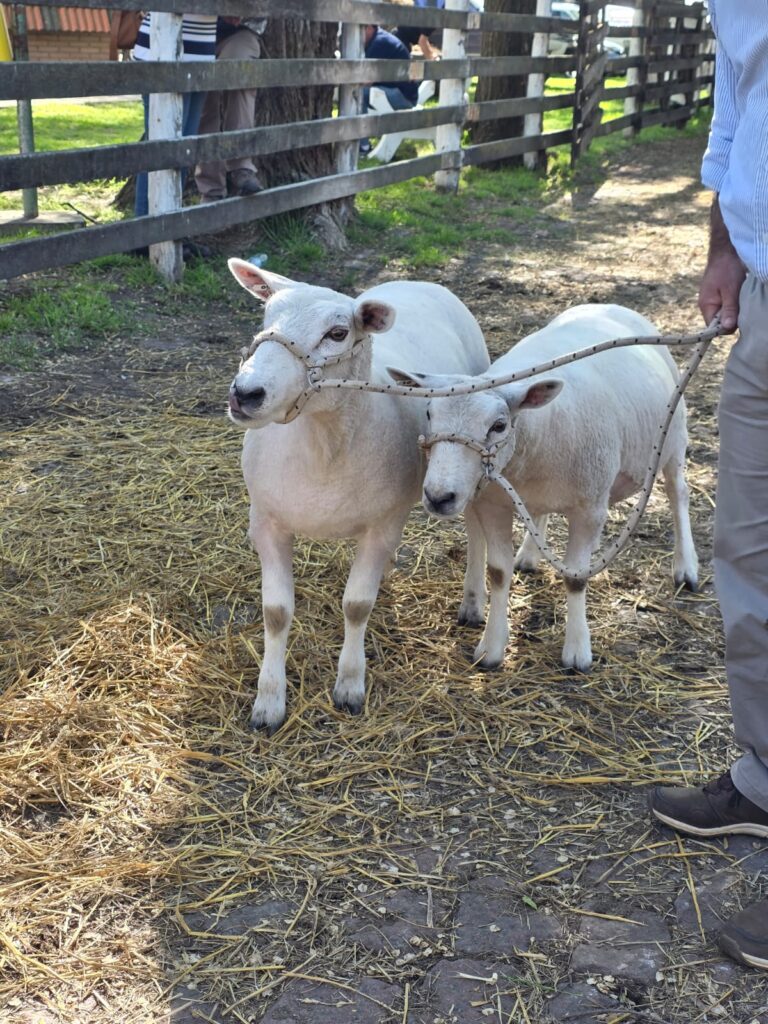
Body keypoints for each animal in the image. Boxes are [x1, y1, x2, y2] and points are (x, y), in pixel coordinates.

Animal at [226, 260, 490, 732]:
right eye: (265, 317)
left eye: (337, 333)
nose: (245, 393)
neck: (324, 446)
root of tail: (417, 280)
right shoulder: (266, 522)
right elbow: (276, 612)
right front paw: (269, 701)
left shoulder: (381, 524)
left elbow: (356, 606)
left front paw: (349, 686)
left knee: (477, 533)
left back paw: (472, 602)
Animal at [388, 303, 699, 672]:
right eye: (428, 414)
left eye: (499, 425)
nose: (438, 497)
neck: (531, 441)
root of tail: (611, 306)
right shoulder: (493, 504)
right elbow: (498, 572)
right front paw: (492, 648)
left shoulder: (590, 509)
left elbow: (576, 577)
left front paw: (577, 652)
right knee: (540, 514)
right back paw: (529, 555)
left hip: (673, 438)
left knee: (678, 495)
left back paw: (686, 568)